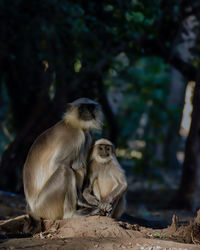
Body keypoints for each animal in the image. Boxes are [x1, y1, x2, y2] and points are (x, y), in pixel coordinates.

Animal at [22, 97, 102, 229]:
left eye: (90, 107)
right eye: (82, 108)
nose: (89, 113)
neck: (73, 124)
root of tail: (31, 209)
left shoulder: (87, 136)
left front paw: (86, 198)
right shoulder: (76, 136)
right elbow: (56, 164)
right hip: (45, 205)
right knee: (66, 171)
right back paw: (72, 213)